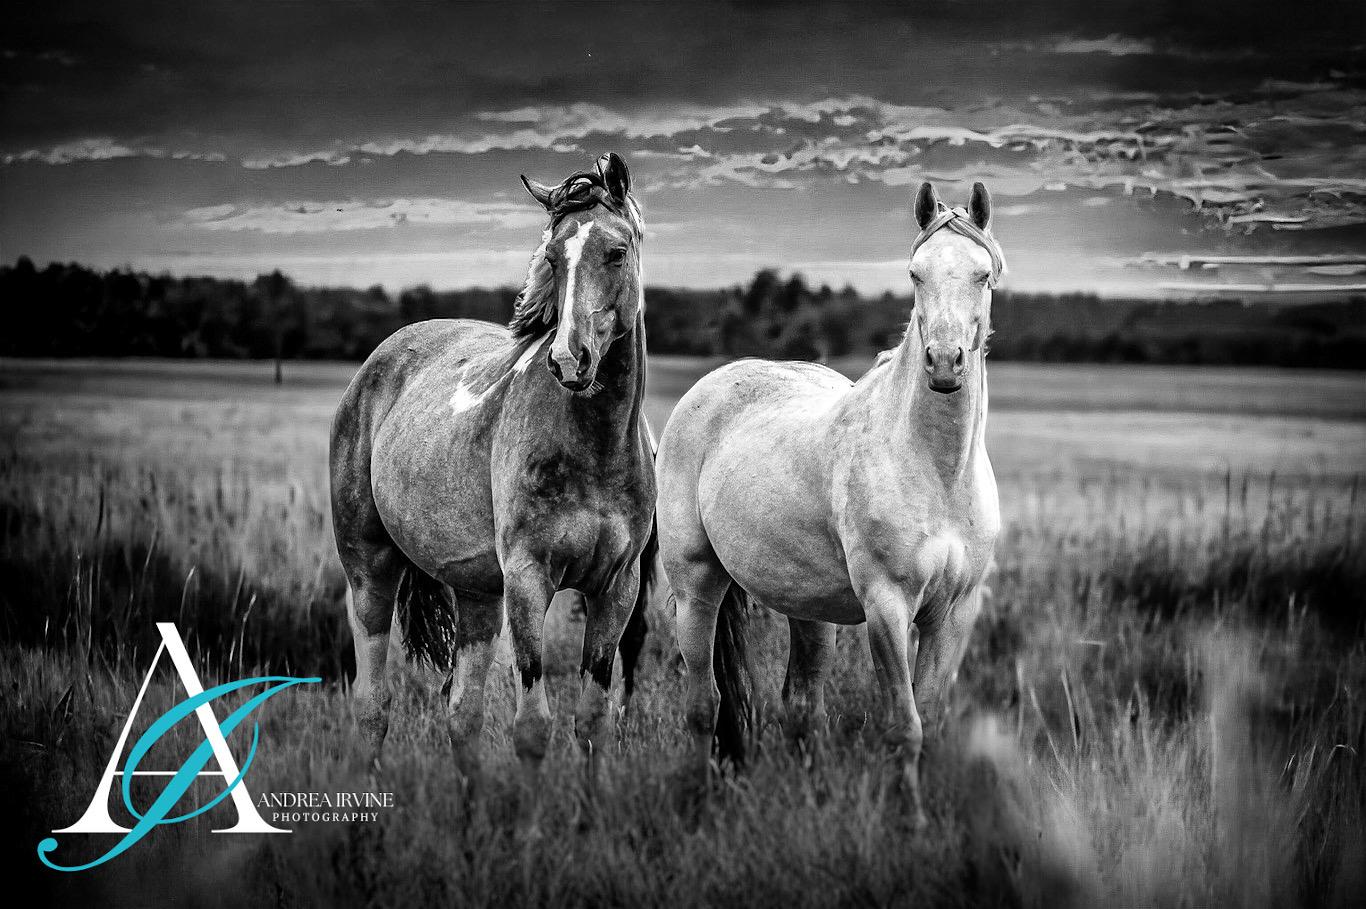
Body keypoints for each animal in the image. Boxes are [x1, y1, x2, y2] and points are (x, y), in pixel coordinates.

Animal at [330, 152, 657, 780]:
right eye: (551, 258)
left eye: (616, 251)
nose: (568, 360)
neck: (596, 449)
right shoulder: (528, 580)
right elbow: (533, 729)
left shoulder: (617, 587)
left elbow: (592, 722)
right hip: (370, 573)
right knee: (373, 706)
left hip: (479, 595)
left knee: (463, 716)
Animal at [656, 181, 1004, 827]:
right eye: (915, 273)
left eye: (982, 274)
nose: (945, 364)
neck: (935, 471)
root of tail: (709, 387)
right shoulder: (887, 606)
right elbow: (904, 725)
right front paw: (910, 822)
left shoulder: (954, 612)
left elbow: (930, 719)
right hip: (696, 585)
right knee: (703, 704)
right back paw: (700, 798)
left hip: (810, 611)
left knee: (801, 705)